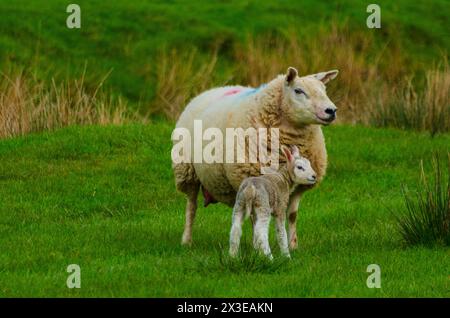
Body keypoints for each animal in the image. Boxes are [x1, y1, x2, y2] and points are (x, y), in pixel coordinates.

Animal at [172, 66, 338, 247]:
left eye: (324, 90)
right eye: (298, 91)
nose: (332, 111)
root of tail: (210, 90)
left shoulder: (299, 186)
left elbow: (292, 215)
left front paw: (293, 246)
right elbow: (255, 218)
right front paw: (257, 245)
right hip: (186, 171)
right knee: (191, 207)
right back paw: (186, 240)